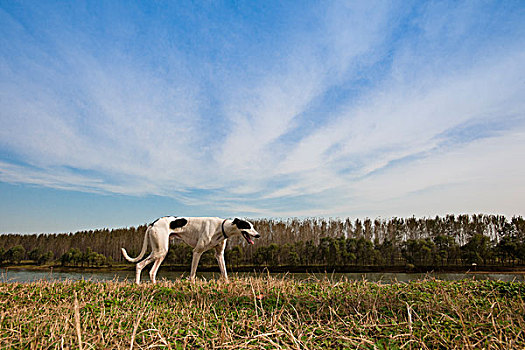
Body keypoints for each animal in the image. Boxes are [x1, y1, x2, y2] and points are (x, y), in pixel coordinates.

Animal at [121, 216, 260, 284]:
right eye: (247, 226)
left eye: (252, 226)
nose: (258, 235)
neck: (221, 227)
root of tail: (153, 223)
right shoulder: (197, 252)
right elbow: (193, 273)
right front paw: (192, 284)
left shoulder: (219, 255)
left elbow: (224, 272)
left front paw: (227, 283)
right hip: (159, 251)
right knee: (139, 264)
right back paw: (138, 284)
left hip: (161, 252)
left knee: (152, 272)